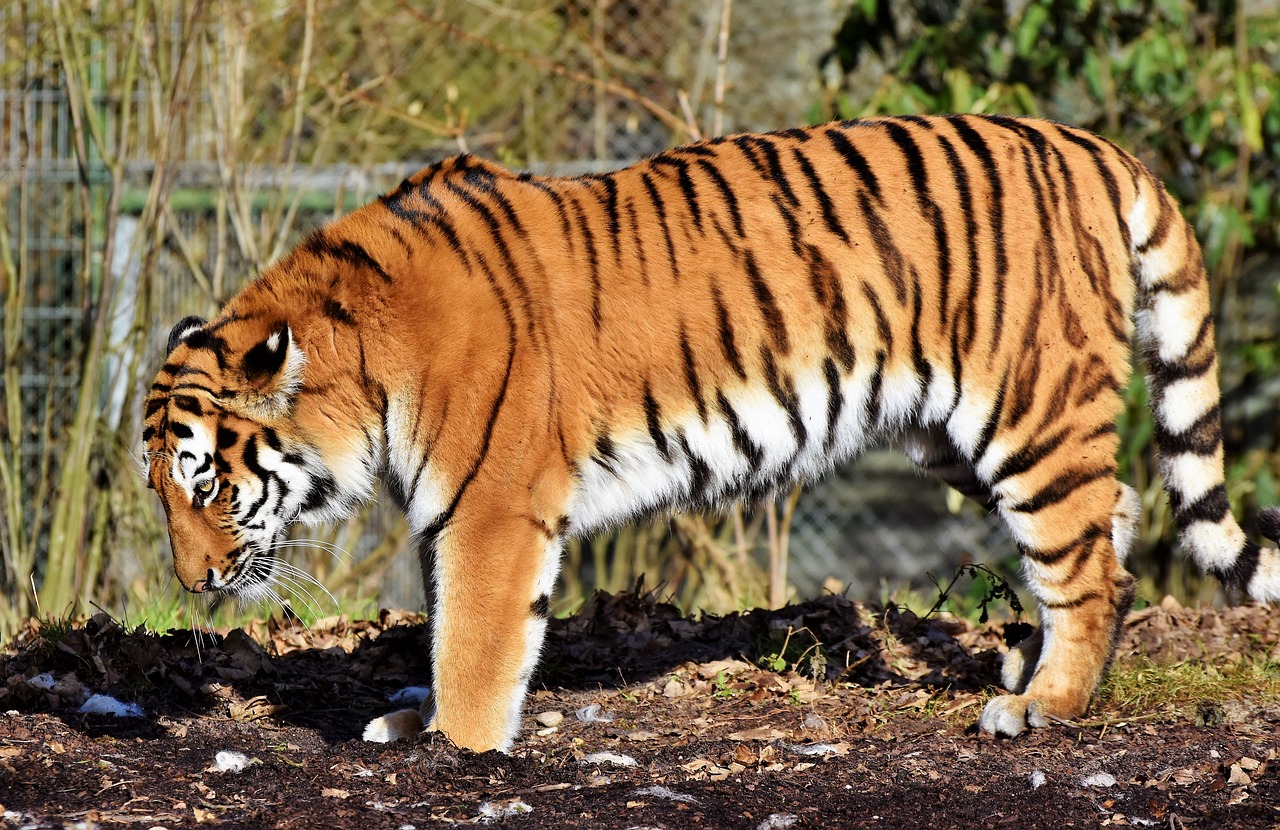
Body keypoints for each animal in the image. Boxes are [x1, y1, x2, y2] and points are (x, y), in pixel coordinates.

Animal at [142, 113, 1280, 753]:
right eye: (161, 491)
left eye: (206, 484)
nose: (191, 584)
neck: (365, 369)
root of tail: (1091, 144)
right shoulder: (446, 513)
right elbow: (442, 625)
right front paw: (415, 721)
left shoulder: (492, 509)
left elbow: (473, 638)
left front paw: (457, 748)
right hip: (953, 432)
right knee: (1111, 517)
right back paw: (1035, 673)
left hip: (1026, 409)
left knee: (1086, 560)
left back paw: (1043, 708)